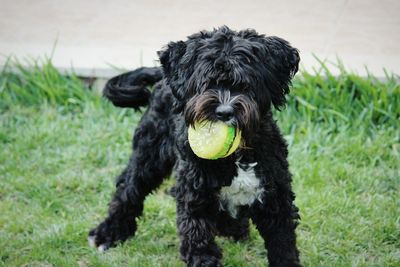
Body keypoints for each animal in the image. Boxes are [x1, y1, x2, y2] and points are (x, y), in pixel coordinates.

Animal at [87, 26, 300, 267]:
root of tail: (165, 78)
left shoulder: (276, 196)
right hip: (150, 153)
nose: (224, 112)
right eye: (206, 83)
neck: (237, 156)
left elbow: (283, 242)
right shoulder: (194, 194)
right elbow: (199, 239)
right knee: (129, 189)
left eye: (246, 85)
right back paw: (107, 234)